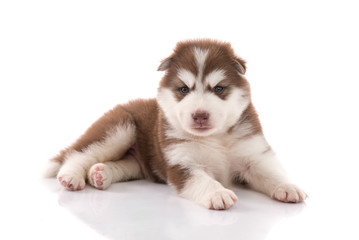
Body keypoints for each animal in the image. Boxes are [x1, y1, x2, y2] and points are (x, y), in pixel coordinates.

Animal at [45, 39, 308, 210]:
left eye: (218, 89)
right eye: (183, 89)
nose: (200, 115)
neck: (215, 137)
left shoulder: (253, 153)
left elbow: (271, 172)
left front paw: (289, 187)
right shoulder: (182, 162)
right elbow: (201, 179)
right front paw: (218, 193)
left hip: (140, 160)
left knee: (124, 164)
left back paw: (100, 174)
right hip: (120, 128)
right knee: (79, 153)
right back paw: (71, 176)